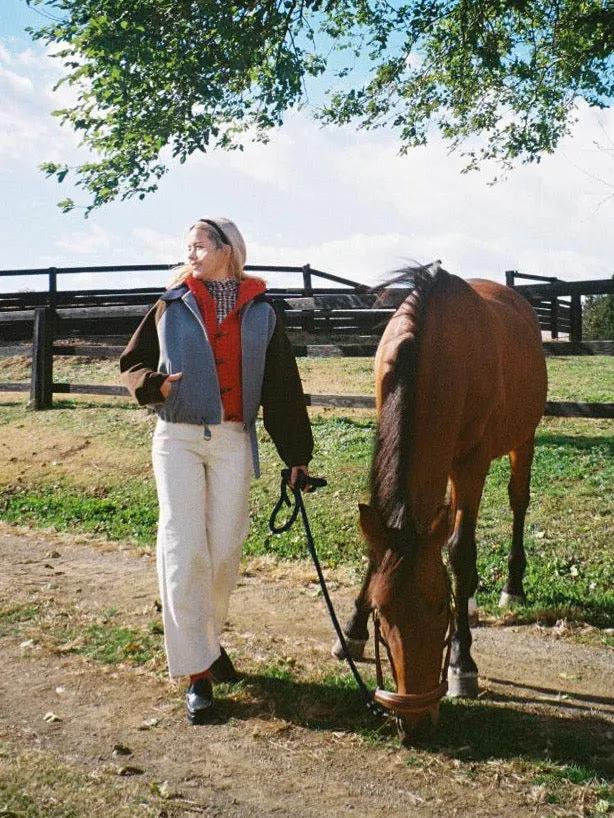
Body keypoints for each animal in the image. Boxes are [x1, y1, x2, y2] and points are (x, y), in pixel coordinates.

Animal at [336, 262, 548, 740]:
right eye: (382, 613)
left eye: (438, 610)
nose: (414, 721)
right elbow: (382, 549)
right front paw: (352, 630)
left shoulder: (472, 462)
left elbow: (460, 551)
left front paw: (462, 664)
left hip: (521, 439)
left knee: (517, 503)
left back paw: (512, 585)